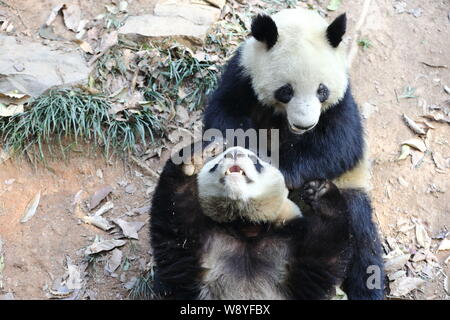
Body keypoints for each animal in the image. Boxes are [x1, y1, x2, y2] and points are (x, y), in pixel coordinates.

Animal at [151, 145, 352, 300]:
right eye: (215, 164)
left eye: (256, 161)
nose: (234, 153)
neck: (245, 225)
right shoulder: (197, 249)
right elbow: (174, 224)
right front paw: (192, 160)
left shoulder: (291, 245)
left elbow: (323, 251)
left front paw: (320, 191)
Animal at [204, 8, 384, 300]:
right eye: (286, 91)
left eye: (322, 90)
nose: (304, 124)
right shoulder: (242, 76)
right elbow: (224, 118)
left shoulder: (342, 100)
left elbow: (342, 142)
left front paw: (284, 172)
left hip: (350, 192)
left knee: (363, 245)